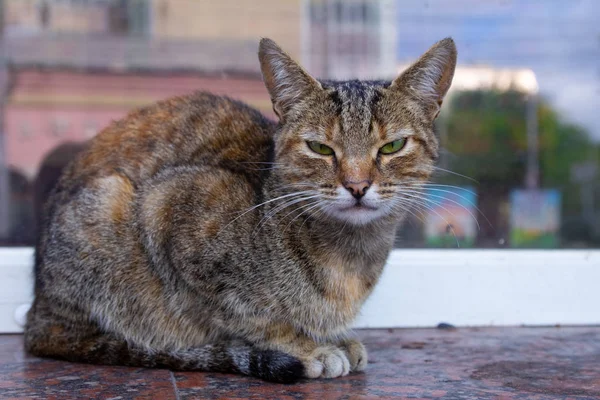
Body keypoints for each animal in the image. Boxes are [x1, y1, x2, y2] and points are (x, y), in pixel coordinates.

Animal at [23, 38, 454, 384]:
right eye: (320, 148)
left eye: (392, 146)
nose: (358, 185)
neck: (349, 258)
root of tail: (38, 313)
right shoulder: (170, 206)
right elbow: (246, 316)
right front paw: (306, 345)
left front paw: (330, 337)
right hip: (110, 203)